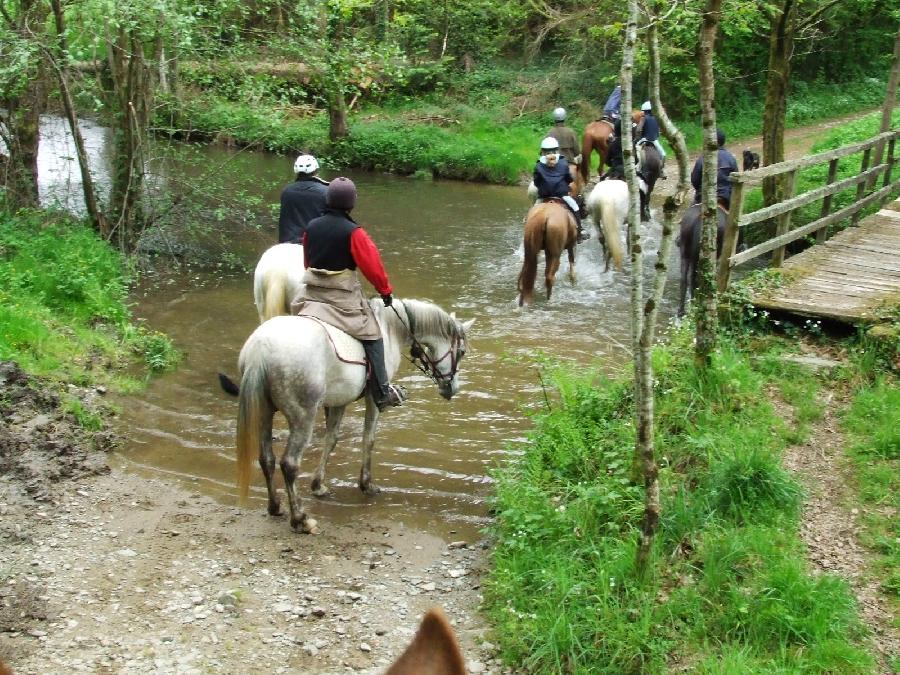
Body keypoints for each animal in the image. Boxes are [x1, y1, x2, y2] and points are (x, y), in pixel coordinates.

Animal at [236, 298, 474, 536]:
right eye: (461, 351)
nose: (451, 389)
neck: (390, 327)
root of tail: (260, 349)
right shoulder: (372, 397)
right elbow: (368, 439)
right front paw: (366, 484)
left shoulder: (339, 401)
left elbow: (331, 440)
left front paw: (318, 485)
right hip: (303, 416)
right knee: (289, 464)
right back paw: (301, 519)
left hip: (264, 413)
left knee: (267, 459)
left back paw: (275, 506)